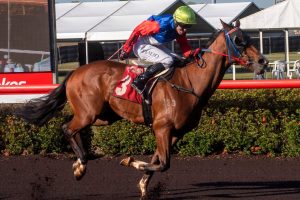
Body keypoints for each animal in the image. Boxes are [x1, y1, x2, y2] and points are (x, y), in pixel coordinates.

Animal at [18, 20, 268, 198]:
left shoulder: (174, 133)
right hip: (90, 113)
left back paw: (80, 163)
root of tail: (74, 72)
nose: (263, 61)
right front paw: (129, 161)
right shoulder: (162, 127)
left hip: (102, 116)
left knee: (70, 126)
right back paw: (81, 164)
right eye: (239, 39)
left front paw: (142, 185)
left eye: (250, 37)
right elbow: (163, 164)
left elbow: (158, 161)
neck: (189, 82)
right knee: (67, 128)